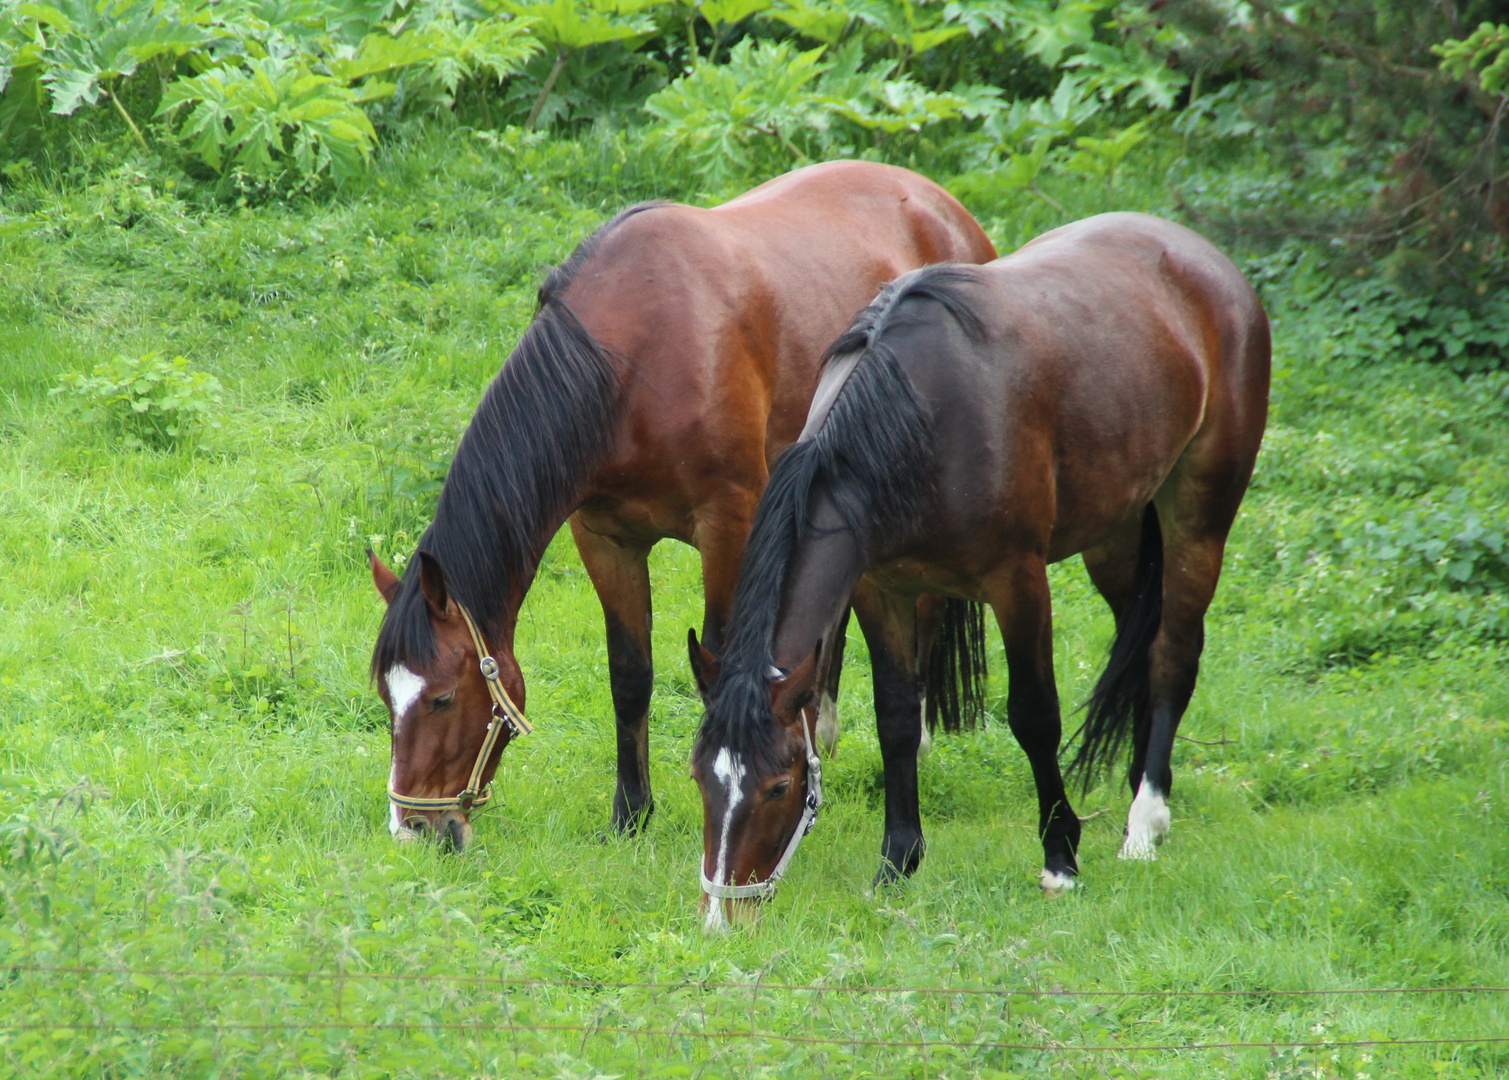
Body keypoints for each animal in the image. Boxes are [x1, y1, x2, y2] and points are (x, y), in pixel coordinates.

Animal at [368, 160, 1001, 850]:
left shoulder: (728, 524)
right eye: (386, 698)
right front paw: (631, 813)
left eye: (441, 698)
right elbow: (629, 674)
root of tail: (948, 210)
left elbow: (719, 657)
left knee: (925, 613)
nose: (412, 829)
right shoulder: (605, 537)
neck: (631, 362)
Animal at [691, 212, 1267, 929]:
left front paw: (1060, 860)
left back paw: (1145, 819)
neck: (917, 418)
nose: (720, 918)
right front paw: (895, 863)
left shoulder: (1017, 582)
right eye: (700, 778)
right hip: (1117, 534)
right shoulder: (882, 589)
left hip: (1198, 515)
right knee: (1142, 648)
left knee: (1173, 655)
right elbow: (895, 720)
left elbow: (1034, 716)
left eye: (777, 785)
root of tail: (1208, 263)